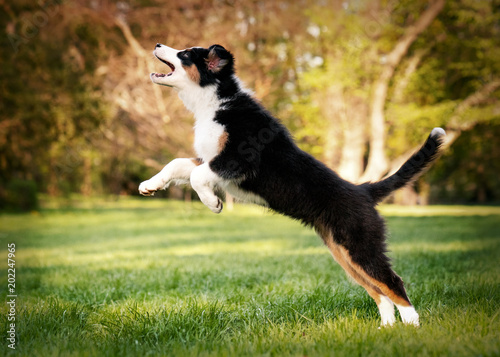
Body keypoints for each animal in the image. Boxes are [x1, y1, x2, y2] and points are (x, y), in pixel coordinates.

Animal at [139, 43, 448, 326]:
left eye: (185, 54)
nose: (157, 44)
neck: (215, 102)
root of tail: (363, 190)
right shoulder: (208, 157)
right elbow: (178, 164)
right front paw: (149, 186)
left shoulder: (238, 158)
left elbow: (197, 176)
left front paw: (212, 203)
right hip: (343, 252)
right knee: (378, 290)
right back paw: (386, 328)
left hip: (361, 245)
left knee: (392, 282)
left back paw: (411, 327)